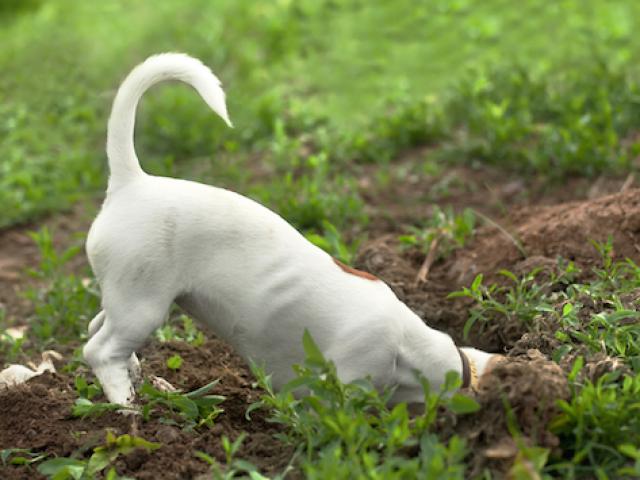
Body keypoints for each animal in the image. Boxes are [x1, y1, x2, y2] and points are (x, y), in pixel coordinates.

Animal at [83, 53, 499, 406]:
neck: (409, 346)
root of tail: (131, 182)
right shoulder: (350, 377)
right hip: (143, 306)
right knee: (98, 351)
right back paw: (127, 406)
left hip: (127, 302)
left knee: (98, 329)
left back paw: (140, 381)